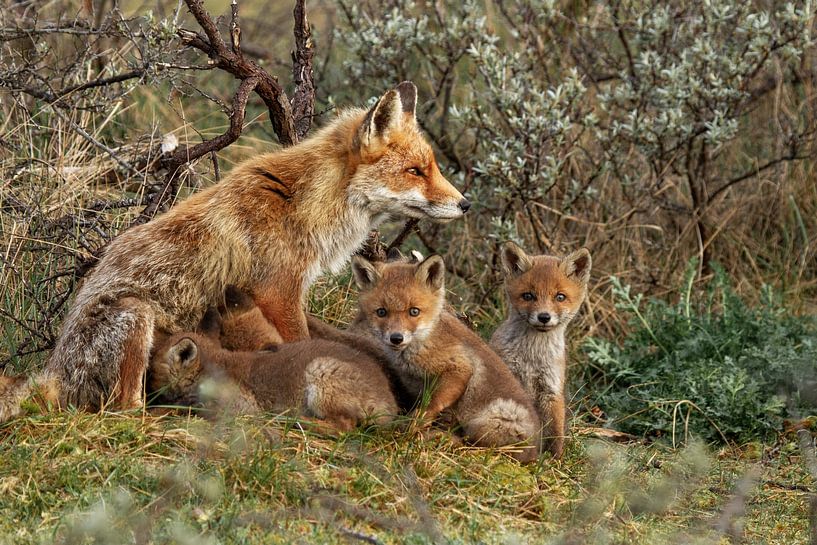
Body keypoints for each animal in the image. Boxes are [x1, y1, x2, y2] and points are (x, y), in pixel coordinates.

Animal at [148, 308, 399, 431]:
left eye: (152, 368)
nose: (147, 392)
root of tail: (391, 403)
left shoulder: (238, 407)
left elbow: (188, 409)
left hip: (320, 375)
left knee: (343, 428)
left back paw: (292, 420)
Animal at [350, 254, 542, 463]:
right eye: (381, 312)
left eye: (414, 311)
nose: (396, 338)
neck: (424, 340)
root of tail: (535, 451)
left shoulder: (460, 368)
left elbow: (431, 405)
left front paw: (411, 428)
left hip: (488, 421)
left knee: (479, 447)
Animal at [490, 242, 591, 459]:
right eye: (528, 296)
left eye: (560, 297)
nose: (544, 317)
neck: (532, 357)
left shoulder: (551, 388)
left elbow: (555, 432)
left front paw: (555, 460)